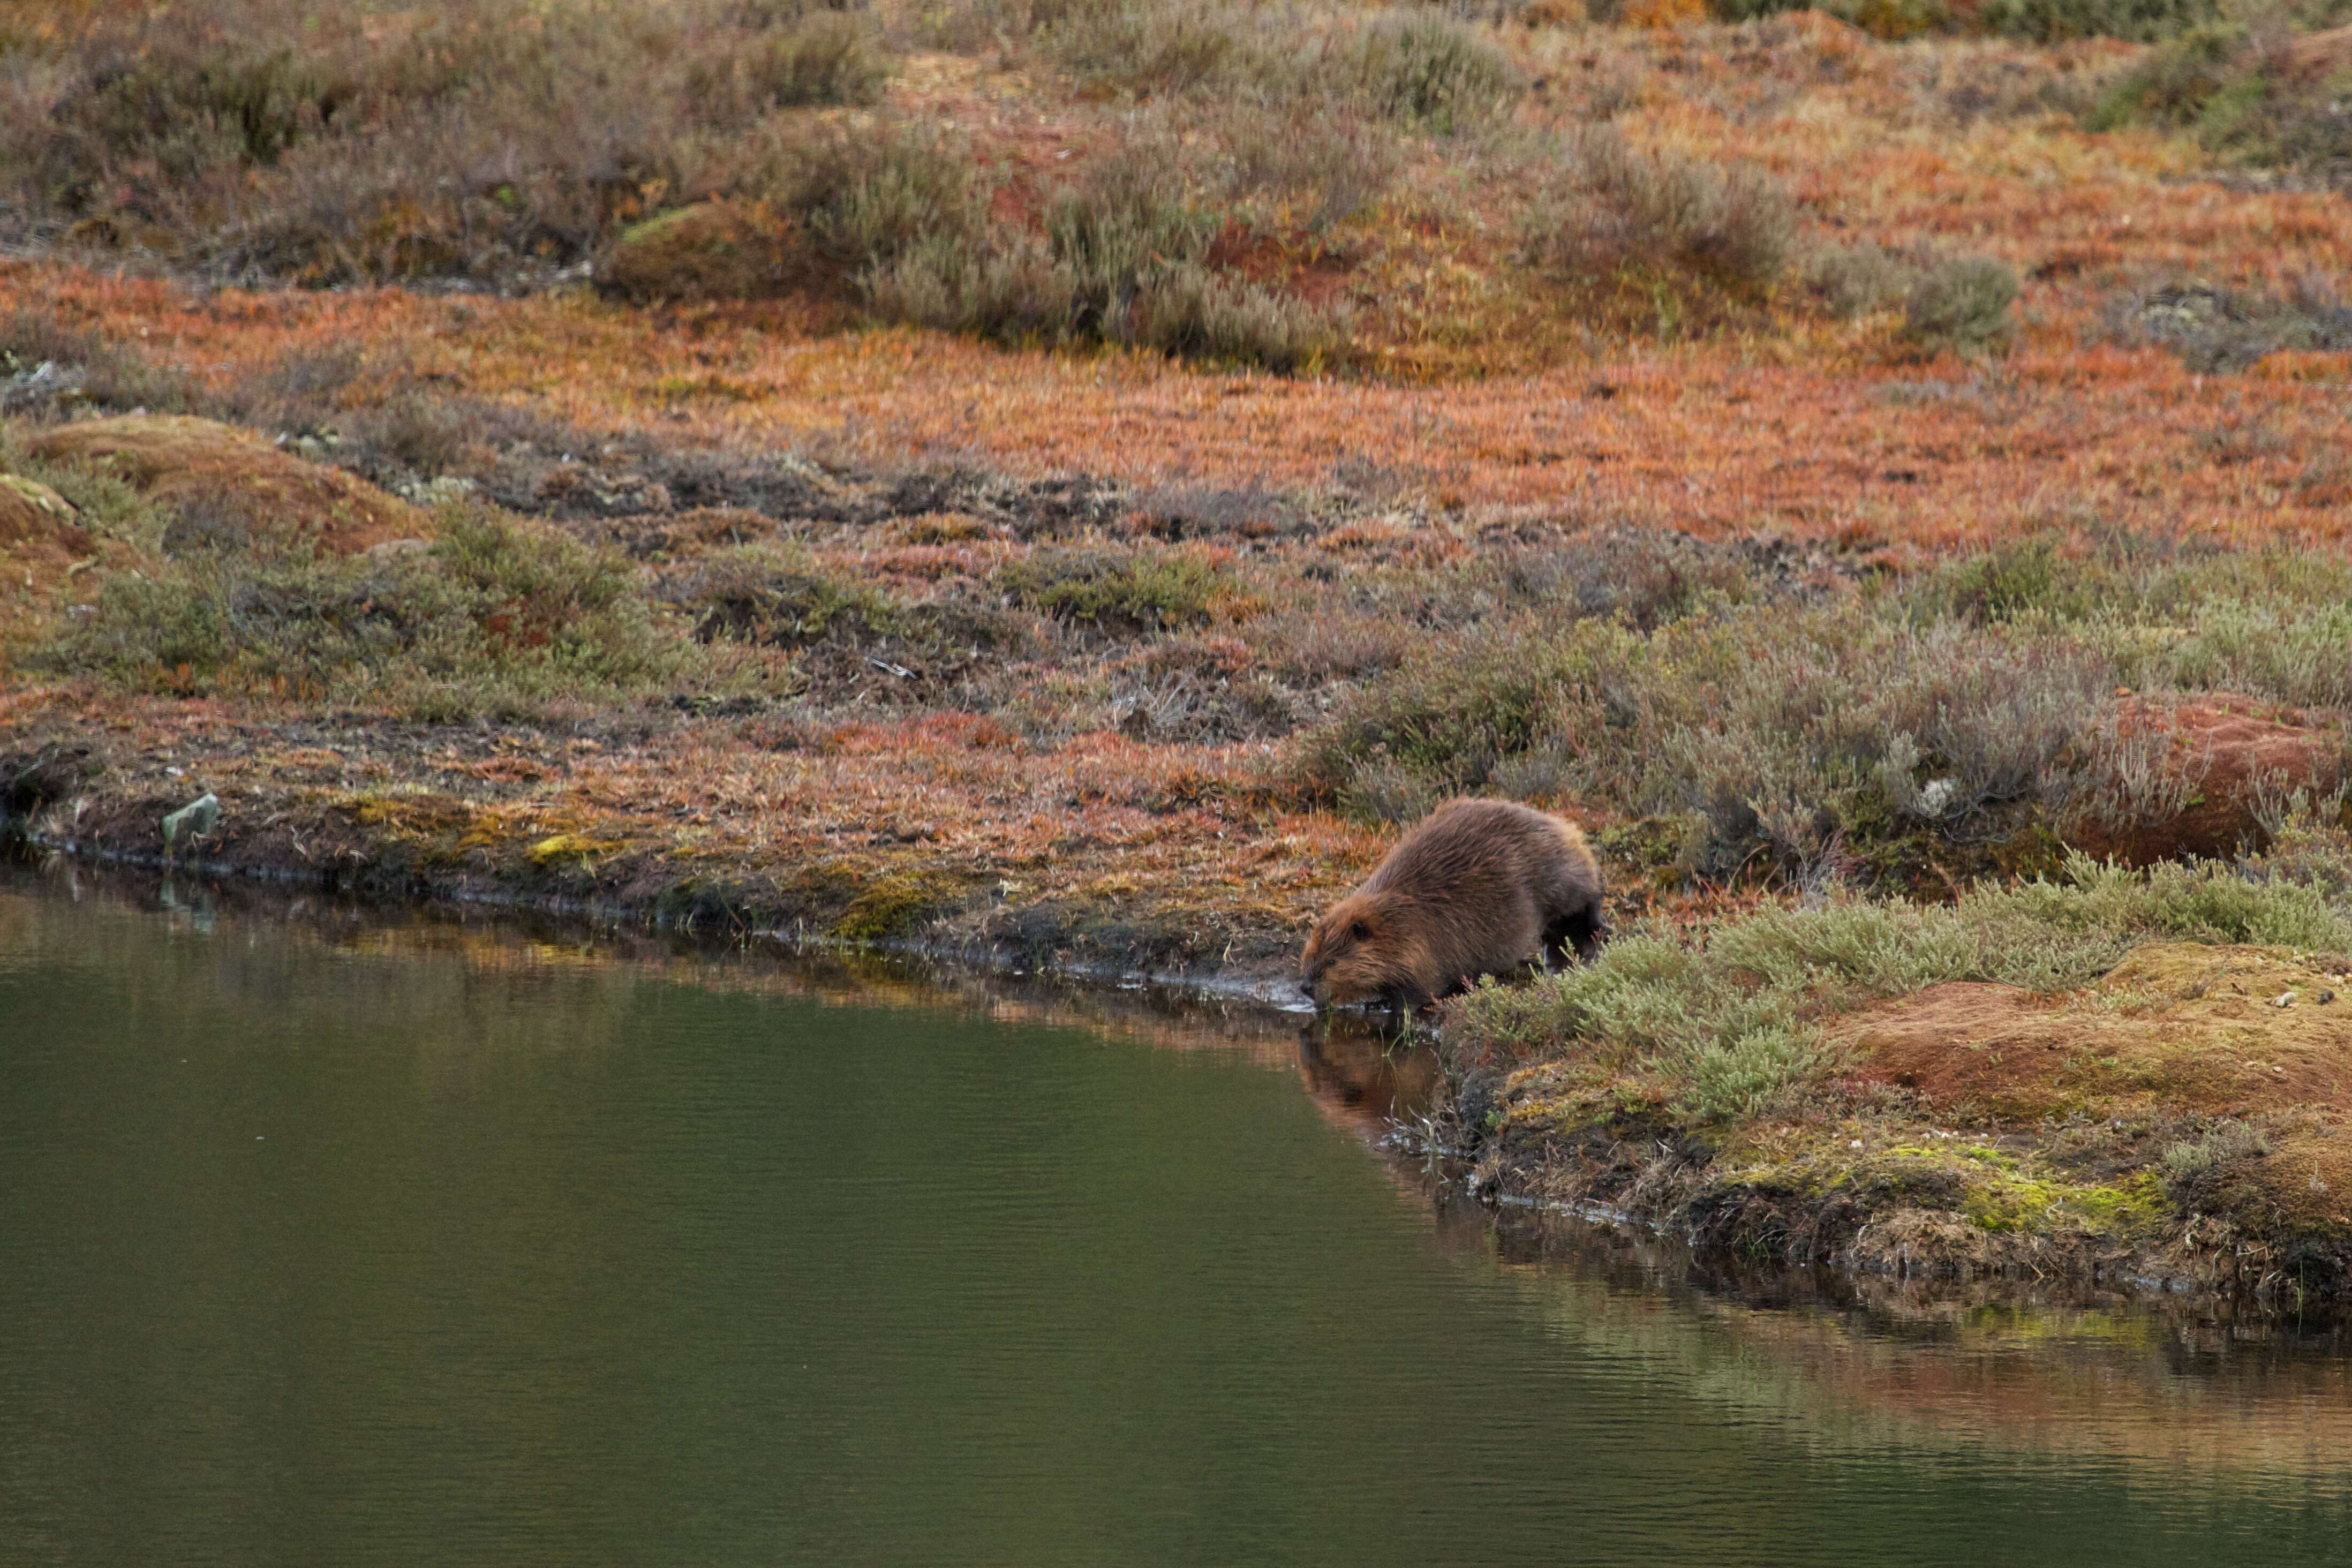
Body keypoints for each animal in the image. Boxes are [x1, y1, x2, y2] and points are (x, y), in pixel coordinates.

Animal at [1298, 804, 1609, 1011]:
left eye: (1332, 962)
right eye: (1310, 952)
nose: (1305, 988)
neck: (1397, 916)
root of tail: (1560, 825)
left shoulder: (1420, 953)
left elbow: (1419, 992)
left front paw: (1382, 1006)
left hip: (1559, 877)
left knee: (1589, 894)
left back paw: (1598, 930)